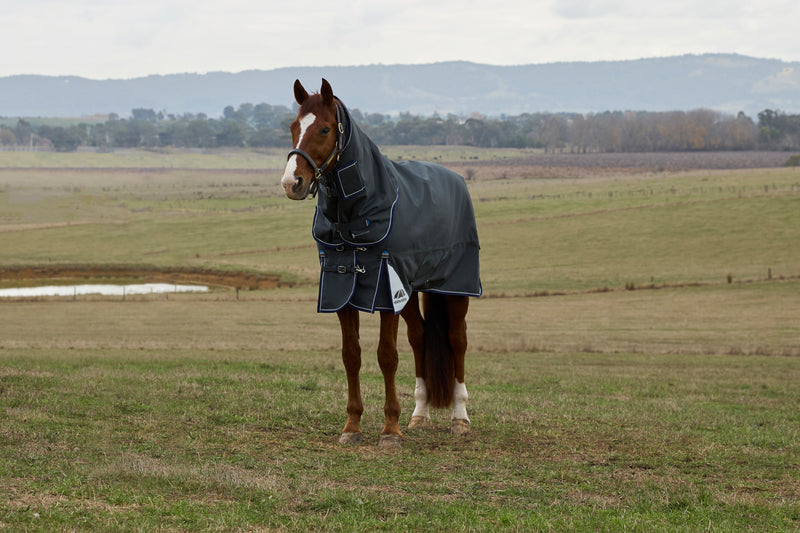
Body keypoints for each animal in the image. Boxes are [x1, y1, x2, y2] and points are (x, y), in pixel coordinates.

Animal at [280, 79, 481, 447]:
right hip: (412, 291)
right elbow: (351, 356)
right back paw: (420, 414)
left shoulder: (385, 290)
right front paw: (352, 426)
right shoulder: (343, 288)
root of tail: (455, 179)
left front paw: (390, 430)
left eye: (325, 128)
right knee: (419, 337)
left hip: (455, 287)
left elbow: (387, 356)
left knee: (457, 340)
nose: (292, 183)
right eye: (293, 127)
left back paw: (460, 418)